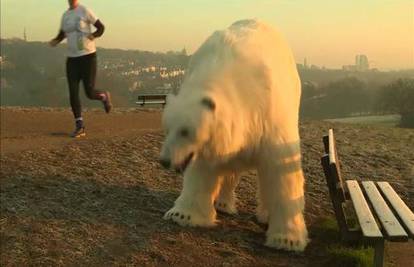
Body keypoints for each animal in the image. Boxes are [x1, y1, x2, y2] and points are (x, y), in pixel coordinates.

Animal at [160, 19, 308, 252]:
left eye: (185, 131)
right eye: (167, 128)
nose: (164, 161)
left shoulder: (268, 115)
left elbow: (281, 169)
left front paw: (287, 240)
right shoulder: (212, 141)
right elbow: (203, 167)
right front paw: (182, 215)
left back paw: (265, 214)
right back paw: (223, 203)